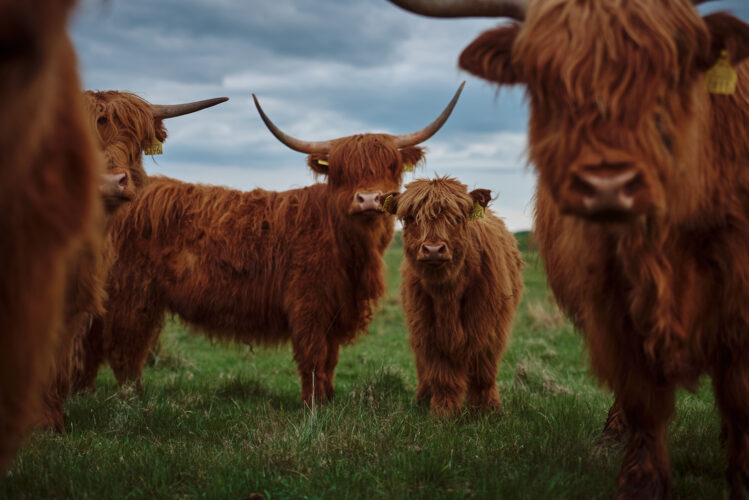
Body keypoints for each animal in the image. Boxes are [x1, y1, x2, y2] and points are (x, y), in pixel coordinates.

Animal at [88, 85, 464, 405]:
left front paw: (328, 398)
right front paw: (314, 404)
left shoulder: (337, 309)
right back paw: (131, 400)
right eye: (341, 170)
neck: (349, 246)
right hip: (132, 295)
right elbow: (313, 356)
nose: (369, 199)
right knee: (125, 351)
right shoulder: (308, 304)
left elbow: (329, 359)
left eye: (391, 165)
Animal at [384, 176, 523, 416]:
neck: (447, 294)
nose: (433, 249)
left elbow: (483, 371)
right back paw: (423, 397)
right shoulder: (428, 330)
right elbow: (442, 373)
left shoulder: (489, 327)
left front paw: (487, 409)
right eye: (410, 218)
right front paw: (443, 412)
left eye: (457, 217)